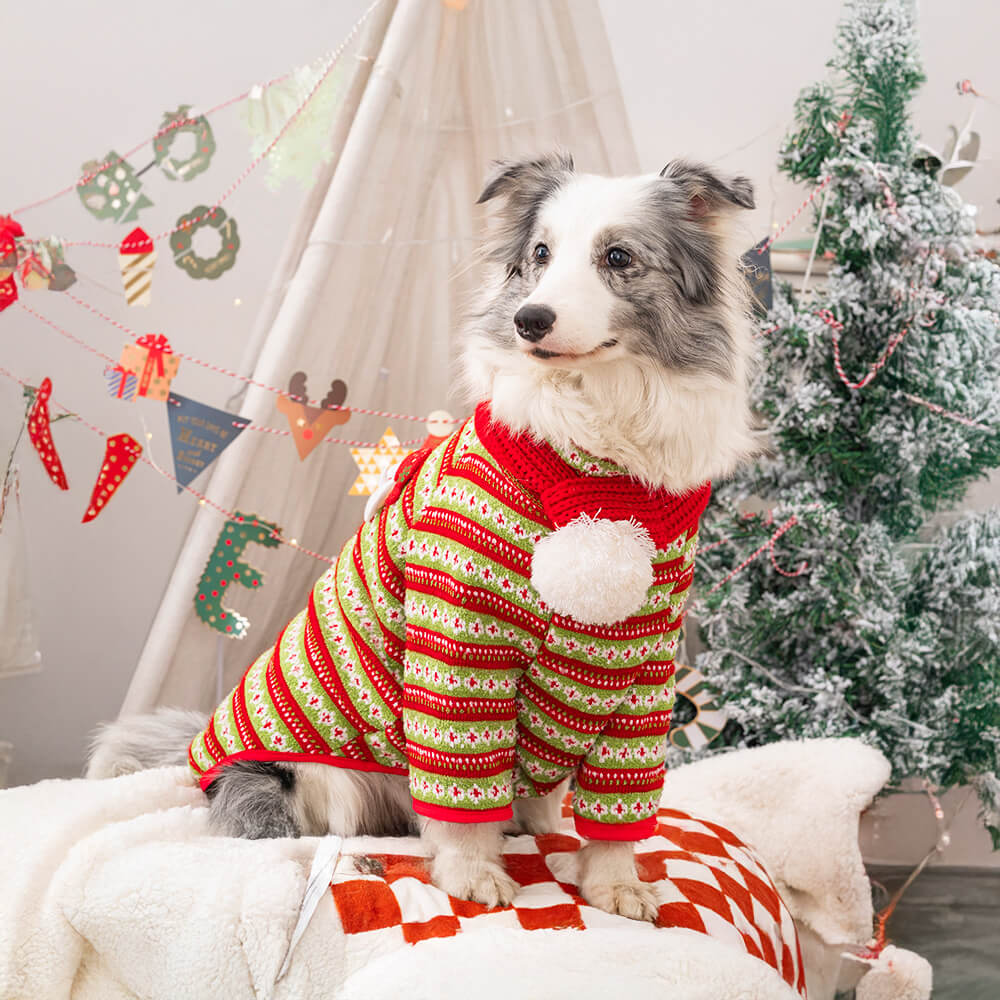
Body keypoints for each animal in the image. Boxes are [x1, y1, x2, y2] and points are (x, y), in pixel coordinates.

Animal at [90, 154, 756, 920]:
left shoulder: (641, 667)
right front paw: (473, 872)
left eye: (618, 257)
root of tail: (207, 750)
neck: (594, 464)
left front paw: (614, 881)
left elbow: (614, 809)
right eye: (540, 254)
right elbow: (458, 796)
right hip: (323, 776)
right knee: (334, 829)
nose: (529, 320)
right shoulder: (458, 645)